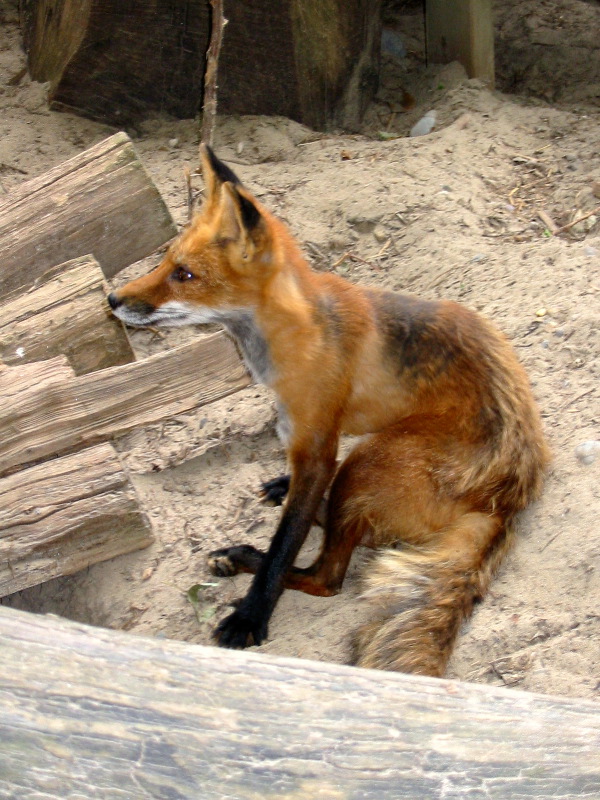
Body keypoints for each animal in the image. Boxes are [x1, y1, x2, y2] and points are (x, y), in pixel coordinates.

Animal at [108, 145, 550, 677]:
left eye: (184, 275)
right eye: (166, 261)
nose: (111, 299)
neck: (298, 333)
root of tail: (509, 500)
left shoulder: (316, 442)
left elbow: (283, 550)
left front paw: (251, 617)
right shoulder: (302, 439)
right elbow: (296, 516)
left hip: (368, 464)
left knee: (328, 576)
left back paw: (251, 554)